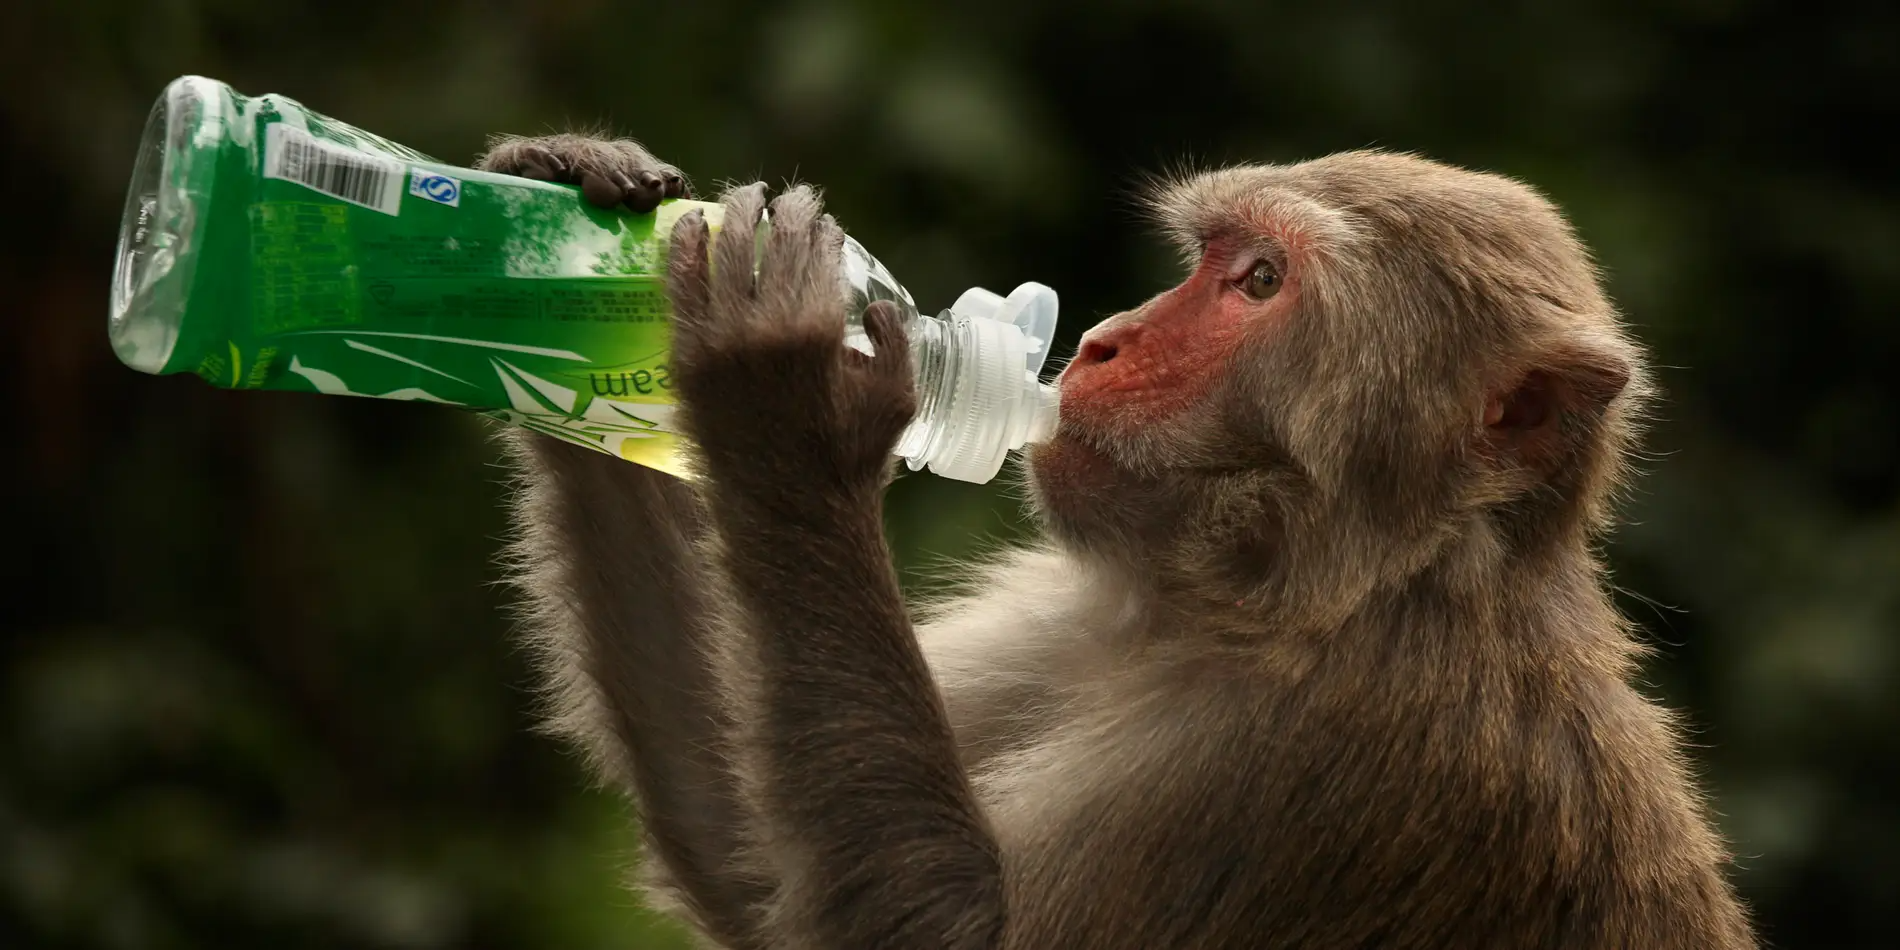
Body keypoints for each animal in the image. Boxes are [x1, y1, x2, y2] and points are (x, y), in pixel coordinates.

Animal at [480, 134, 1759, 949]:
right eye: (1208, 261)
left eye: (1258, 280)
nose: (1099, 341)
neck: (1309, 594)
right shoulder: (1078, 602)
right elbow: (745, 849)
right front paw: (567, 208)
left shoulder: (1332, 752)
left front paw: (786, 397)